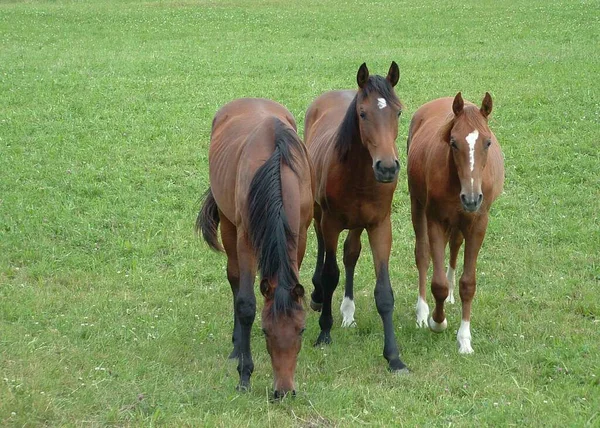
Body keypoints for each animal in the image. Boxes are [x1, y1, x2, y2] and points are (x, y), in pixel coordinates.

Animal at [197, 98, 316, 398]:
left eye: (301, 330)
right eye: (265, 331)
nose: (284, 391)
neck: (277, 167)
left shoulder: (300, 234)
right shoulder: (246, 240)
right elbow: (246, 304)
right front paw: (245, 373)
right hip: (228, 225)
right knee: (234, 278)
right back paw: (236, 345)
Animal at [304, 61, 408, 372]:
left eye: (398, 111)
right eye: (363, 113)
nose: (387, 167)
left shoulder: (379, 225)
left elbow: (383, 292)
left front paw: (394, 357)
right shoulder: (331, 222)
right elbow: (330, 274)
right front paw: (324, 333)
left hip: (358, 225)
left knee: (351, 252)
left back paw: (348, 311)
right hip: (319, 213)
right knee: (321, 244)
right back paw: (317, 297)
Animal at [406, 91, 504, 354]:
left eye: (487, 142)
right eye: (453, 142)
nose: (471, 198)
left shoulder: (478, 224)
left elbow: (468, 284)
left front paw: (465, 340)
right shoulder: (435, 221)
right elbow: (437, 282)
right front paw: (437, 321)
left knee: (455, 245)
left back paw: (450, 294)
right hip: (417, 205)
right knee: (423, 255)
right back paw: (422, 313)